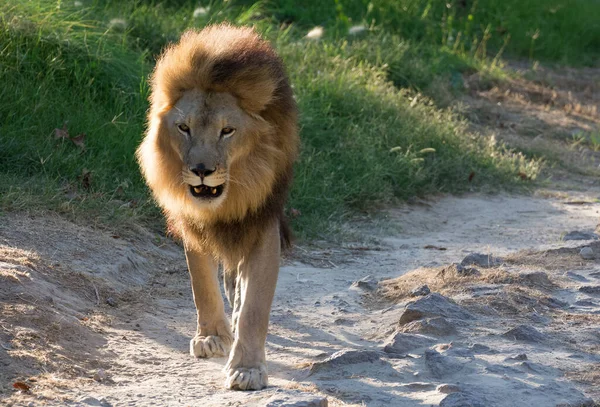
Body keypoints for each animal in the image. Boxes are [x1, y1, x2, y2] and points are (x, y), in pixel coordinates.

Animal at [135, 23, 296, 392]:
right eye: (184, 128)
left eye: (227, 130)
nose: (202, 170)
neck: (226, 201)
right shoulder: (192, 223)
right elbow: (202, 285)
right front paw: (211, 337)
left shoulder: (261, 222)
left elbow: (255, 306)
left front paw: (247, 369)